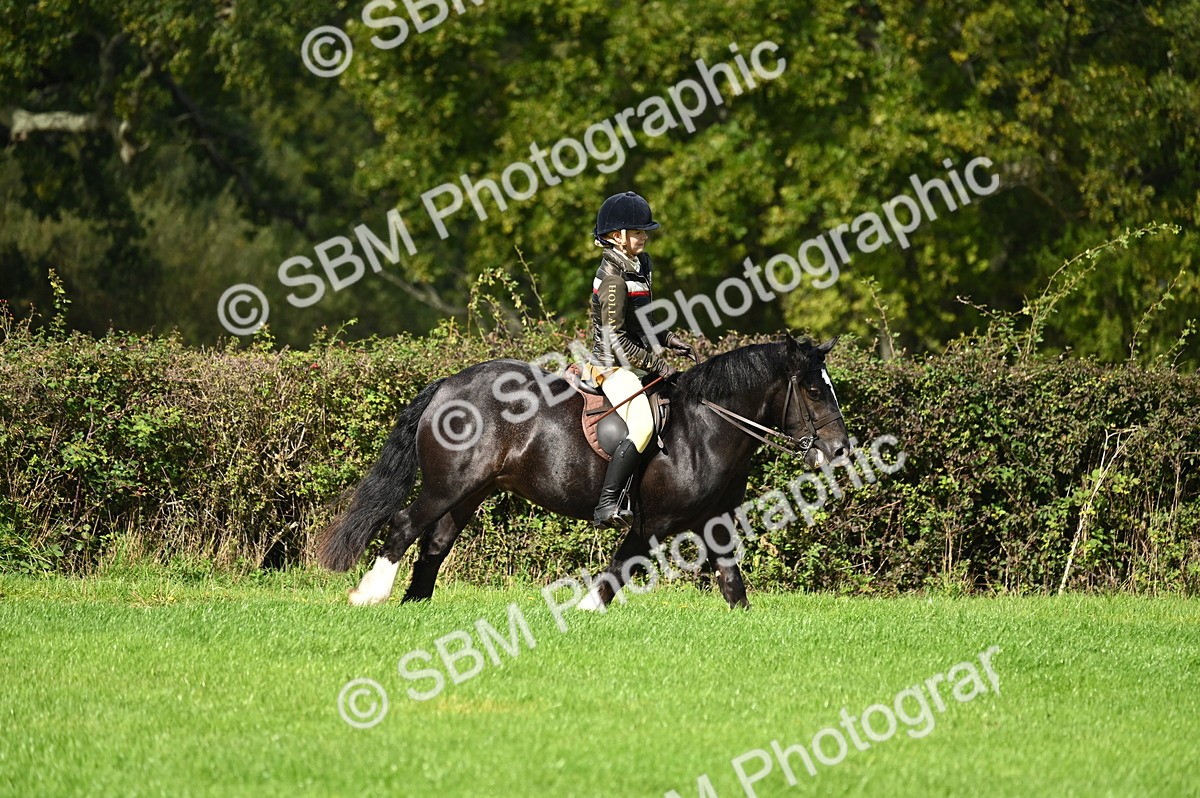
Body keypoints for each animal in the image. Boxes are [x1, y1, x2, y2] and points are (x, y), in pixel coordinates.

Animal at [316, 336, 851, 610]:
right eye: (813, 390)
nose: (840, 449)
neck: (706, 427)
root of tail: (448, 384)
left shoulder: (713, 521)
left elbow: (732, 582)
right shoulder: (651, 523)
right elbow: (618, 572)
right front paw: (586, 613)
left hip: (471, 490)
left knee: (436, 542)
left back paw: (415, 605)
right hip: (449, 485)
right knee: (405, 525)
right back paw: (370, 595)